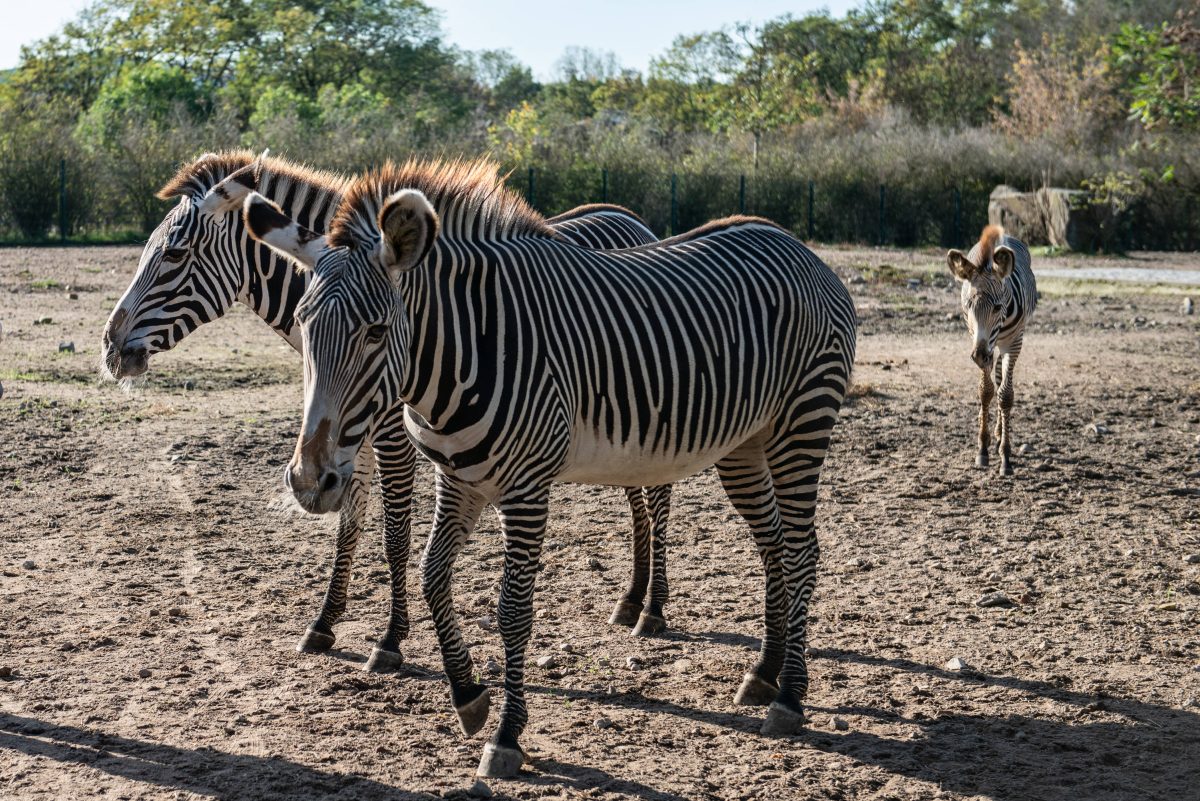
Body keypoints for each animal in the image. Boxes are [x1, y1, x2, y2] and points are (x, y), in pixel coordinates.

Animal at [96, 146, 676, 671]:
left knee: (658, 496)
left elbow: (395, 533)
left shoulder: (394, 435)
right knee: (636, 493)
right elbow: (349, 523)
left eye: (174, 254)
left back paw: (652, 609)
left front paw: (390, 639)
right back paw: (630, 599)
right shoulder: (346, 439)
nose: (109, 347)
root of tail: (629, 217)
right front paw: (324, 624)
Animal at [243, 155, 859, 777]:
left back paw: (789, 697)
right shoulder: (457, 477)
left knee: (802, 552)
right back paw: (763, 673)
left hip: (803, 422)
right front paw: (468, 697)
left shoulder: (526, 487)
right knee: (775, 545)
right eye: (302, 323)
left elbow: (513, 609)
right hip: (745, 445)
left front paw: (506, 736)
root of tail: (798, 245)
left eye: (375, 332)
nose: (308, 482)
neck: (463, 352)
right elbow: (432, 575)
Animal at [950, 224, 1036, 474]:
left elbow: (1005, 396)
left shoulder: (1014, 342)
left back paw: (999, 435)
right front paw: (982, 449)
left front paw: (1005, 456)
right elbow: (985, 391)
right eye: (968, 305)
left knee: (1000, 378)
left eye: (998, 307)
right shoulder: (975, 337)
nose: (979, 355)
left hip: (1003, 344)